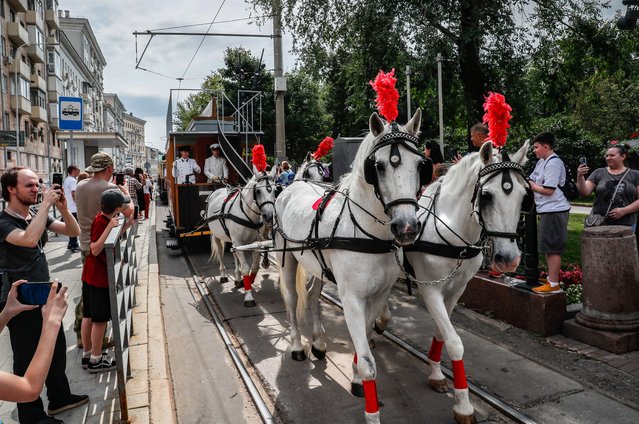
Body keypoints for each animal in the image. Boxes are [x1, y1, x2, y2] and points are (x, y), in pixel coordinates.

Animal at [205, 144, 276, 306]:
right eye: (258, 191)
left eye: (275, 190)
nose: (269, 216)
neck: (248, 214)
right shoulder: (238, 240)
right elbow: (245, 267)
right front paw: (248, 296)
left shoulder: (255, 241)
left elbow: (254, 266)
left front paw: (248, 282)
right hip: (217, 235)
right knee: (220, 252)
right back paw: (224, 275)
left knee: (235, 253)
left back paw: (237, 279)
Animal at [276, 68, 436, 420]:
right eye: (378, 166)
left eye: (421, 166)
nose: (407, 226)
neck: (370, 234)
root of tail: (292, 184)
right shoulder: (350, 298)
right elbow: (368, 361)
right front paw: (364, 390)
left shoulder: (377, 296)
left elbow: (364, 338)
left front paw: (354, 377)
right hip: (287, 257)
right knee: (292, 300)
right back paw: (297, 345)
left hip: (317, 267)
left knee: (312, 296)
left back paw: (319, 343)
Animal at [402, 93, 532, 424]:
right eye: (486, 196)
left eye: (524, 195)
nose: (509, 259)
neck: (453, 230)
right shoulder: (430, 288)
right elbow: (455, 342)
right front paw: (463, 404)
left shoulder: (456, 289)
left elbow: (442, 331)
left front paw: (436, 372)